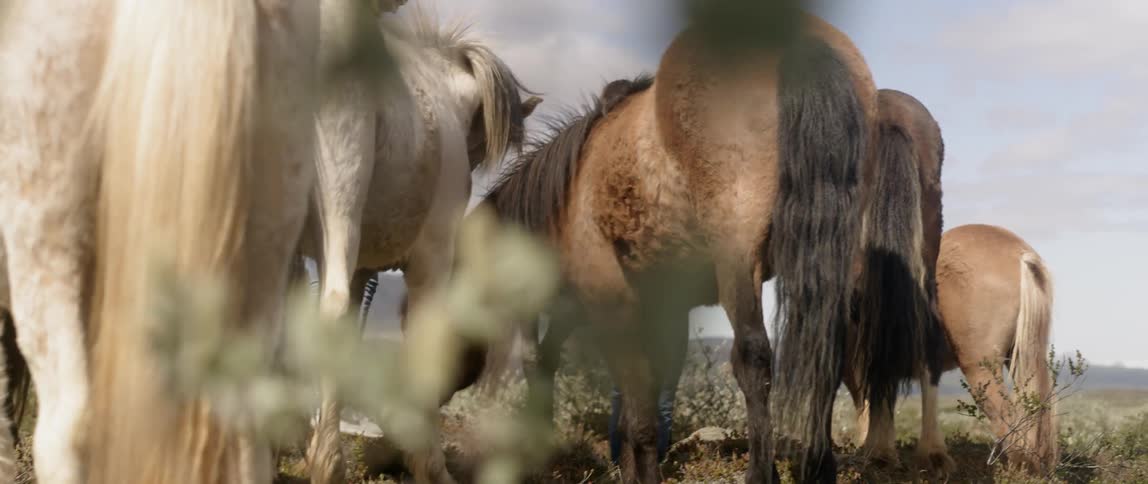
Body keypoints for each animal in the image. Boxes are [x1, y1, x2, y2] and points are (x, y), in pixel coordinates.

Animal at [472, 11, 942, 482]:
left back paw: (762, 472)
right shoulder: (662, 306)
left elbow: (638, 403)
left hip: (738, 260)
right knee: (834, 356)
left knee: (754, 358)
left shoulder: (611, 299)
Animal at [847, 224, 1058, 475]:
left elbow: (870, 405)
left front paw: (877, 455)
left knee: (1006, 412)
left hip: (980, 368)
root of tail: (1021, 254)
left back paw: (1019, 466)